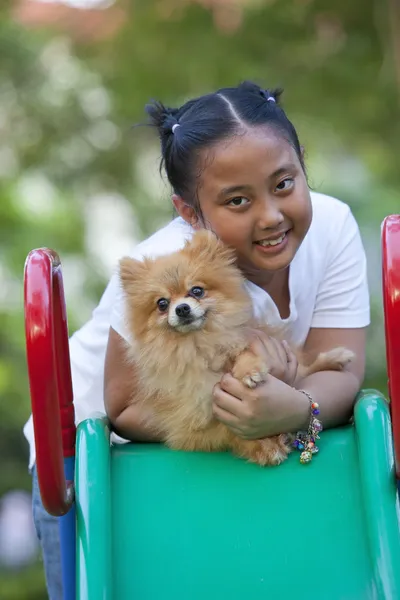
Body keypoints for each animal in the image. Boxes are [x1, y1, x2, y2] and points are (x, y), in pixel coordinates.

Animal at [119, 227, 354, 466]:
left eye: (197, 291)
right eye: (162, 304)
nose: (182, 308)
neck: (199, 345)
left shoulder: (239, 340)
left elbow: (244, 353)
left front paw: (249, 372)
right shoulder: (191, 422)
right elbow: (229, 431)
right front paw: (266, 447)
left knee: (306, 368)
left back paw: (336, 357)